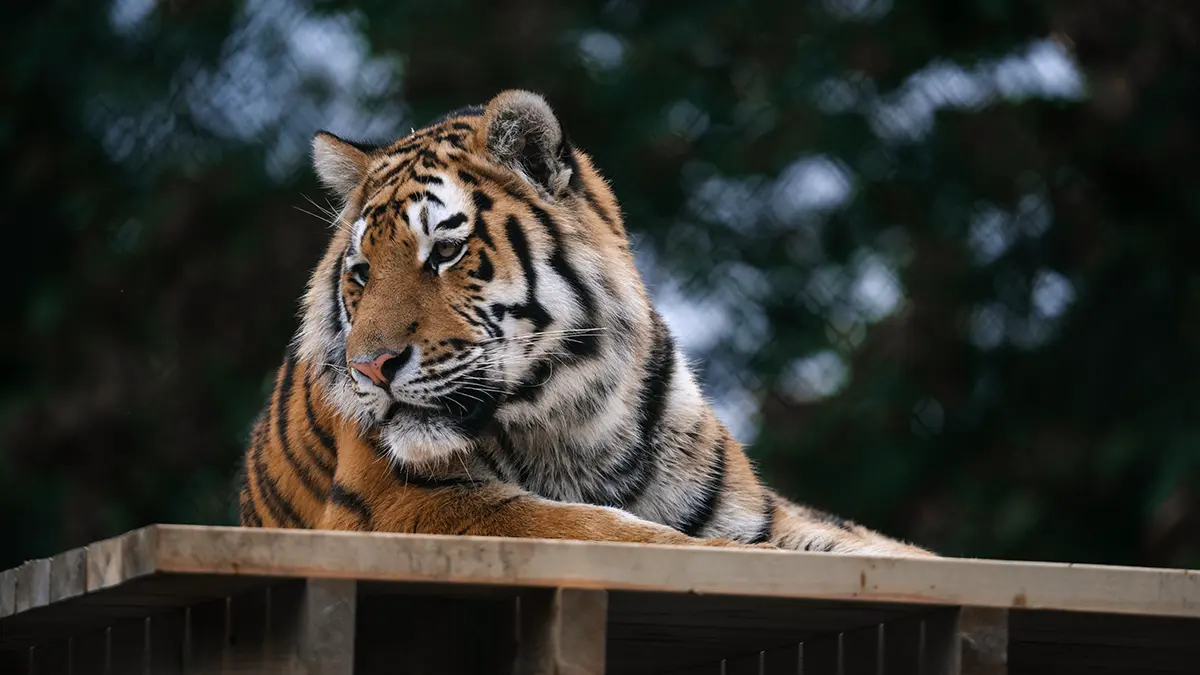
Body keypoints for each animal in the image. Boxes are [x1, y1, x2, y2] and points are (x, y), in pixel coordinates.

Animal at [237, 89, 932, 556]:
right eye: (360, 272)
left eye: (445, 252)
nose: (369, 368)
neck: (569, 409)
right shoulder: (411, 502)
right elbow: (621, 533)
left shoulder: (753, 511)